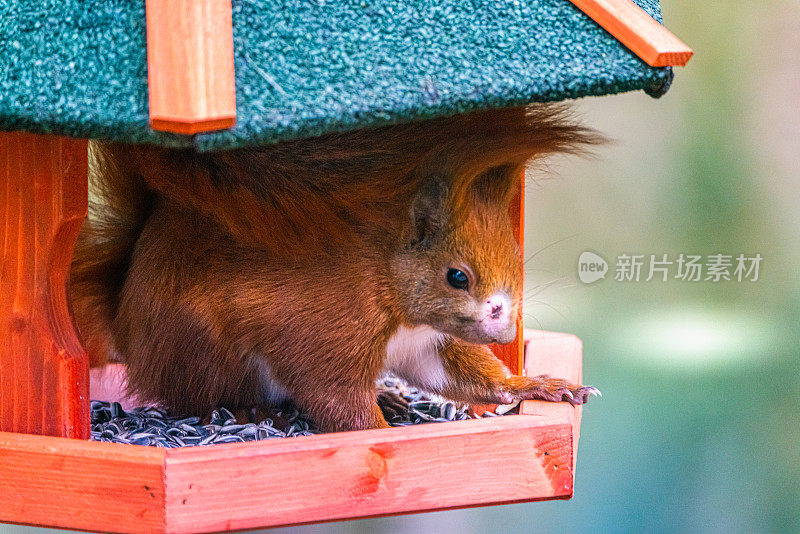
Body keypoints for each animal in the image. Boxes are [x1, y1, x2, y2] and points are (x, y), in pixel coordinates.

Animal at [72, 105, 600, 436]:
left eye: (516, 260)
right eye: (457, 277)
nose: (506, 329)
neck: (395, 295)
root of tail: (124, 312)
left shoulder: (426, 345)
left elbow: (466, 378)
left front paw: (542, 386)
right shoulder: (329, 325)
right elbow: (334, 396)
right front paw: (382, 434)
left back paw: (386, 397)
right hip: (203, 351)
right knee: (198, 399)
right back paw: (255, 410)